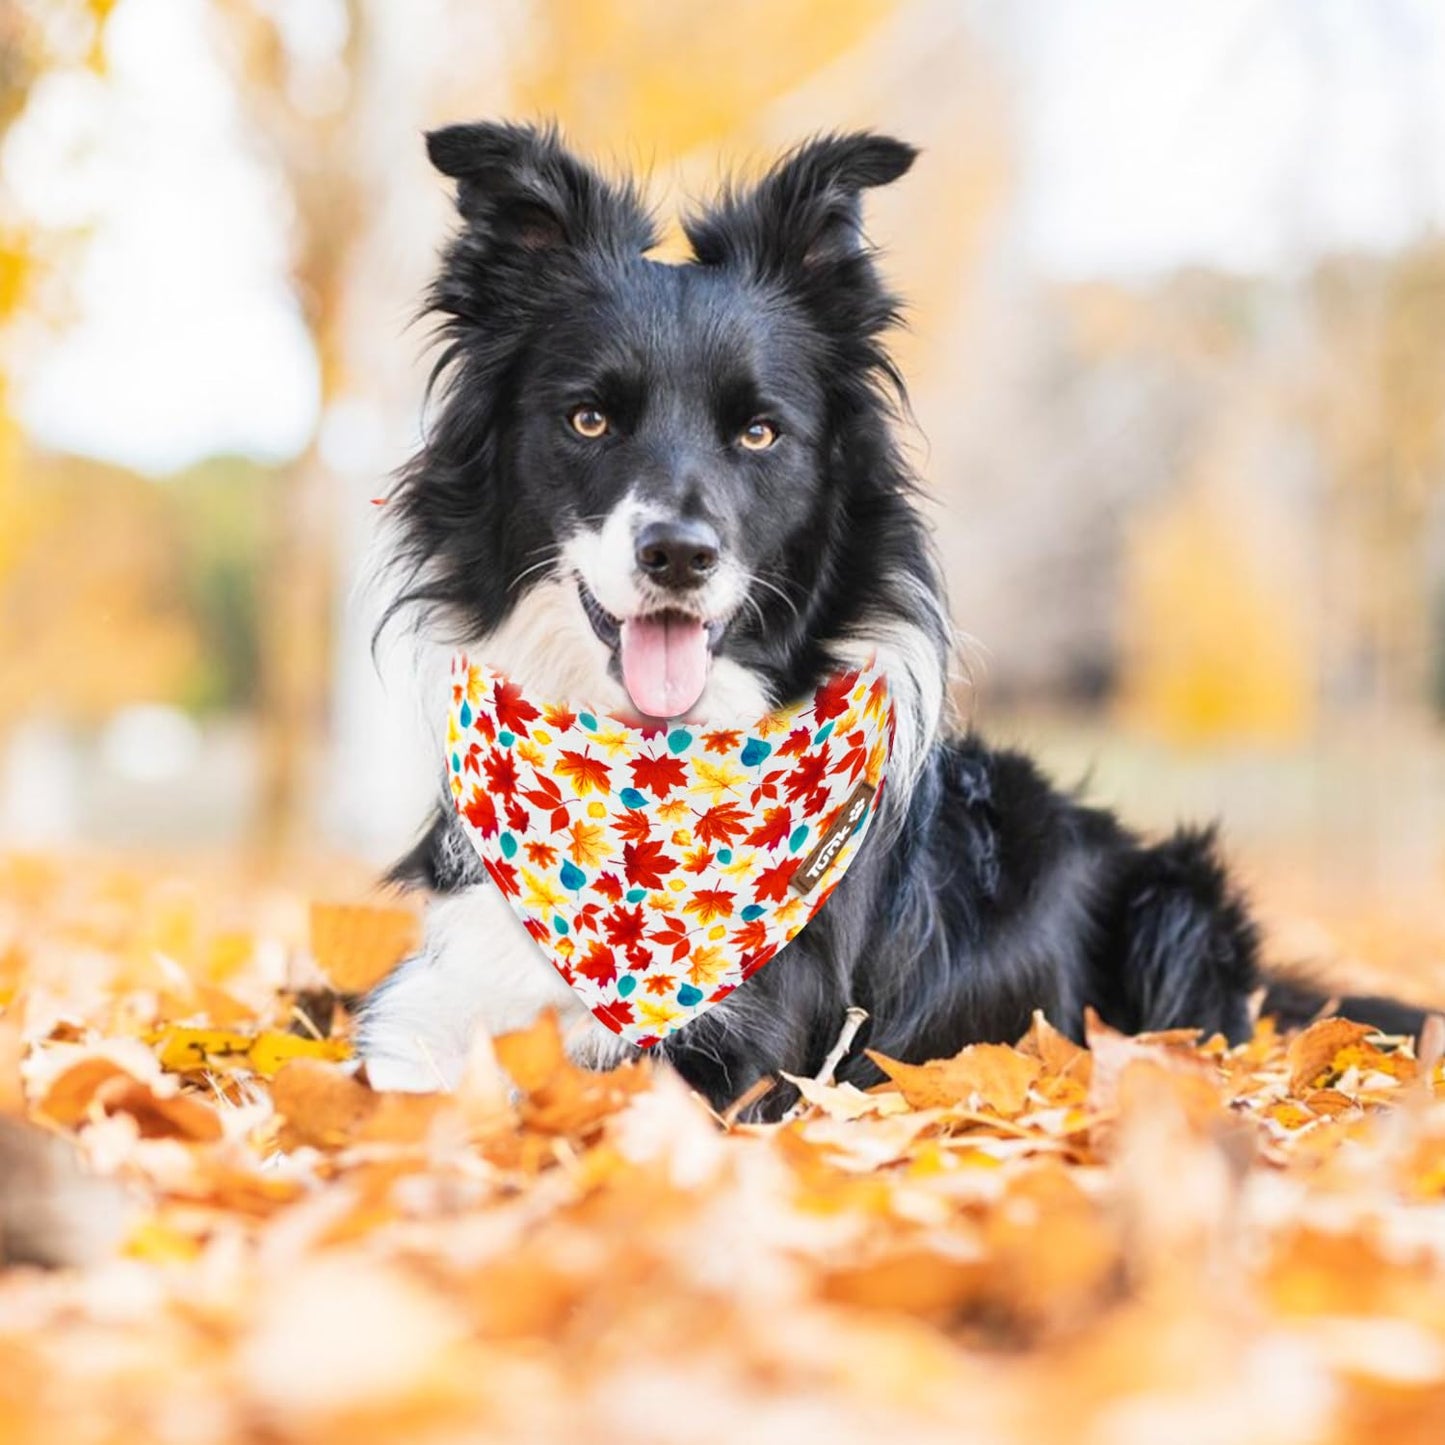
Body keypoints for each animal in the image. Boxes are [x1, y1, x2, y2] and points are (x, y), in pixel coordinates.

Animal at [355, 127, 1416, 1115]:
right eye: (588, 420)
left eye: (759, 432)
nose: (679, 556)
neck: (646, 770)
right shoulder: (425, 1006)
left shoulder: (743, 1060)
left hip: (1179, 899)